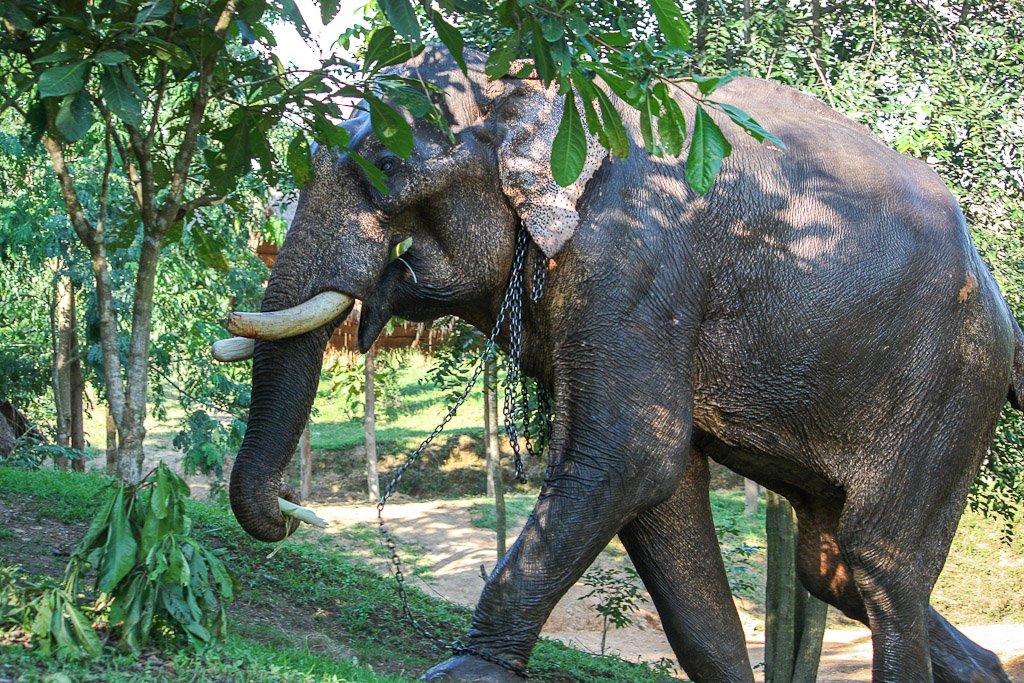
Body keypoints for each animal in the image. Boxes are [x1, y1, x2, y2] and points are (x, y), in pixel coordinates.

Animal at [219, 46, 1020, 682]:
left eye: (386, 166)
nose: (290, 511)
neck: (542, 84)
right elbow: (664, 492)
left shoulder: (635, 252)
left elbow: (628, 455)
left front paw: (462, 672)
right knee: (831, 566)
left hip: (949, 389)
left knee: (879, 565)